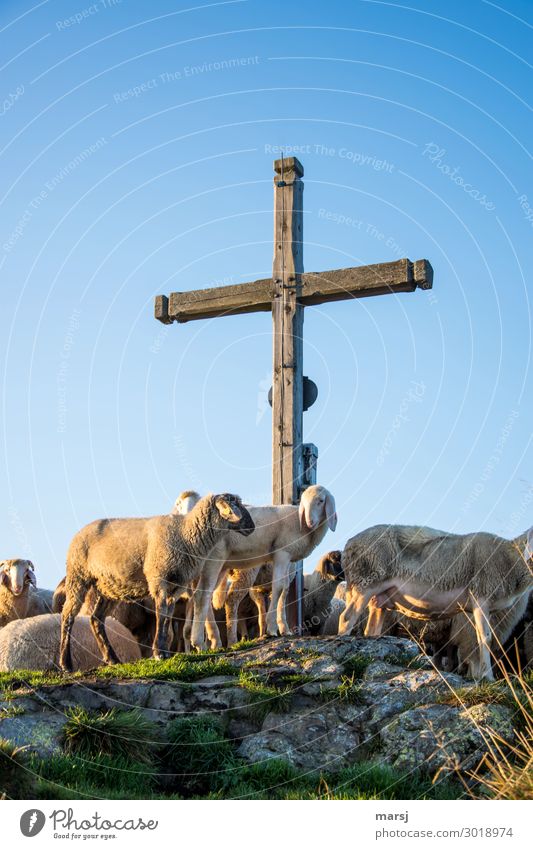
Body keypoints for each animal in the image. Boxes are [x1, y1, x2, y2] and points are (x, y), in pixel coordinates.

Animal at [58, 490, 256, 668]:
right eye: (234, 506)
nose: (252, 527)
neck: (186, 533)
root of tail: (81, 531)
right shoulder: (159, 578)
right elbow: (161, 614)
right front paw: (159, 653)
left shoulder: (177, 585)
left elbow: (167, 616)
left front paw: (164, 652)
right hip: (78, 576)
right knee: (68, 615)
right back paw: (66, 663)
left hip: (109, 586)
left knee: (96, 619)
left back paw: (112, 658)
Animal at [338, 524, 528, 684]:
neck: (511, 557)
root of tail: (349, 544)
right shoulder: (480, 599)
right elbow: (483, 639)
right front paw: (486, 677)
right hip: (365, 583)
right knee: (346, 618)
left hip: (380, 599)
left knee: (371, 631)